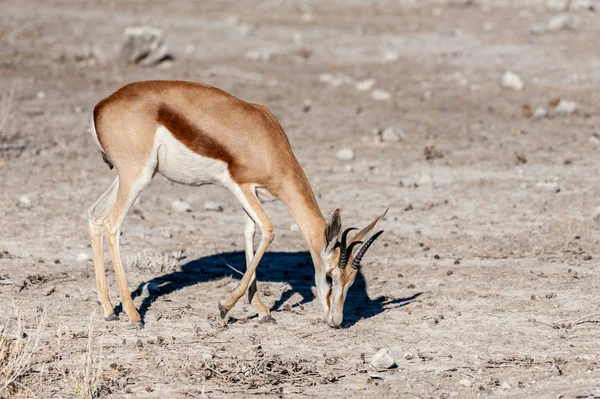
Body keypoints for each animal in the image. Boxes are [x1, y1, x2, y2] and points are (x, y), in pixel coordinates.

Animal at [86, 80, 386, 328]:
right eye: (330, 277)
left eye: (351, 281)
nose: (336, 321)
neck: (265, 141)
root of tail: (101, 106)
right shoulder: (240, 186)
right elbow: (268, 230)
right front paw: (224, 307)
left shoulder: (250, 194)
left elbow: (250, 234)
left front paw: (262, 311)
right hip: (137, 176)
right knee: (112, 223)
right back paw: (133, 314)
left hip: (126, 177)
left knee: (95, 214)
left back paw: (109, 310)